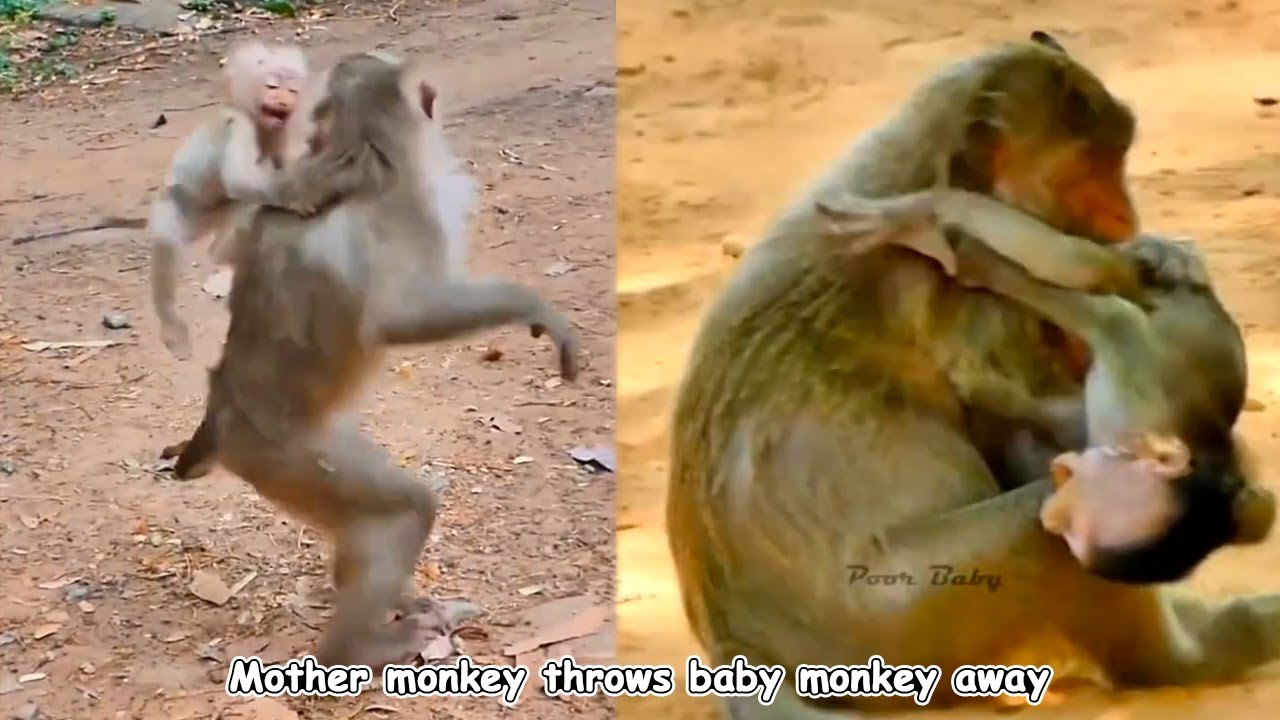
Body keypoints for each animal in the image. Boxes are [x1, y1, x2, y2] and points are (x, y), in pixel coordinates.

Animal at [148, 41, 309, 360]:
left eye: (292, 90)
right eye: (273, 85)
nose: (283, 101)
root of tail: (201, 221)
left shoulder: (282, 134)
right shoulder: (240, 126)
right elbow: (240, 179)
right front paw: (300, 196)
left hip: (217, 216)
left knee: (241, 211)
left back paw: (223, 264)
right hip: (175, 205)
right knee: (167, 247)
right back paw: (173, 328)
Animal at [161, 53, 578, 670]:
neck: (362, 149)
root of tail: (223, 415)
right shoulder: (408, 213)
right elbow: (397, 317)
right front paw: (534, 306)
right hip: (292, 460)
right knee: (406, 509)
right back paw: (358, 647)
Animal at [813, 187, 1275, 571]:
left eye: (1069, 528)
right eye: (1071, 516)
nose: (1050, 519)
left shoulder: (1100, 420)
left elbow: (1047, 412)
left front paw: (986, 388)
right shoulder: (1130, 385)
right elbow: (1113, 318)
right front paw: (971, 258)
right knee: (1085, 268)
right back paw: (924, 215)